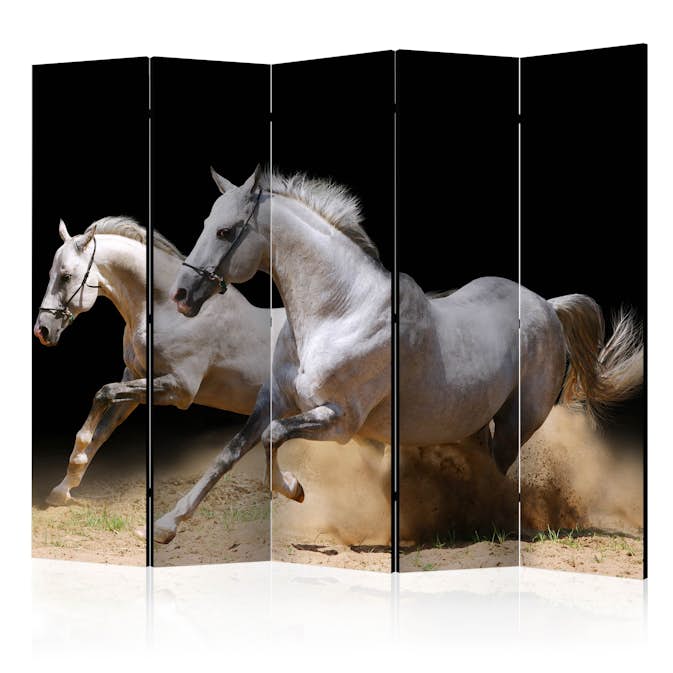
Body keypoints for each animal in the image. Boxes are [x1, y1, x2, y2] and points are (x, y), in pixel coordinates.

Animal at [34, 216, 285, 508]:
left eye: (66, 276)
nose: (42, 330)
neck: (167, 310)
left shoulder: (179, 389)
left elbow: (103, 394)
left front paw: (76, 458)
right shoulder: (134, 378)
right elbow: (103, 429)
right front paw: (63, 489)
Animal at [152, 166, 643, 543]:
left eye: (225, 231)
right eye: (205, 223)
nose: (181, 296)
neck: (339, 312)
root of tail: (548, 305)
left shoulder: (340, 421)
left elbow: (274, 438)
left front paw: (294, 489)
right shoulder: (272, 400)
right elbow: (231, 452)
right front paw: (165, 525)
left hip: (517, 421)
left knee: (499, 473)